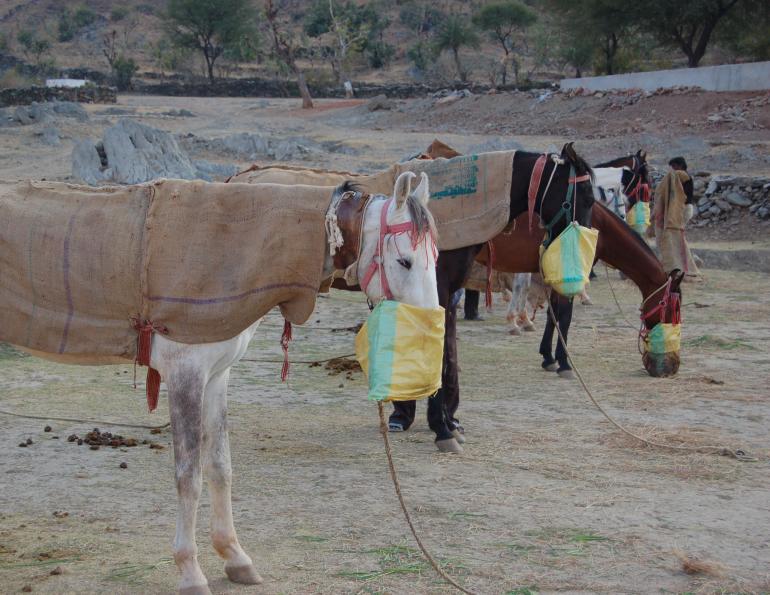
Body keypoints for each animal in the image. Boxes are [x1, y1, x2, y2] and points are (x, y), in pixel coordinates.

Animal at [0, 173, 439, 595]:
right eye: (404, 260)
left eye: (436, 257)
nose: (428, 334)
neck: (236, 247)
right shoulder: (185, 374)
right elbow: (188, 475)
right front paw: (190, 571)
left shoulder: (216, 376)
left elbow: (220, 466)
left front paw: (234, 556)